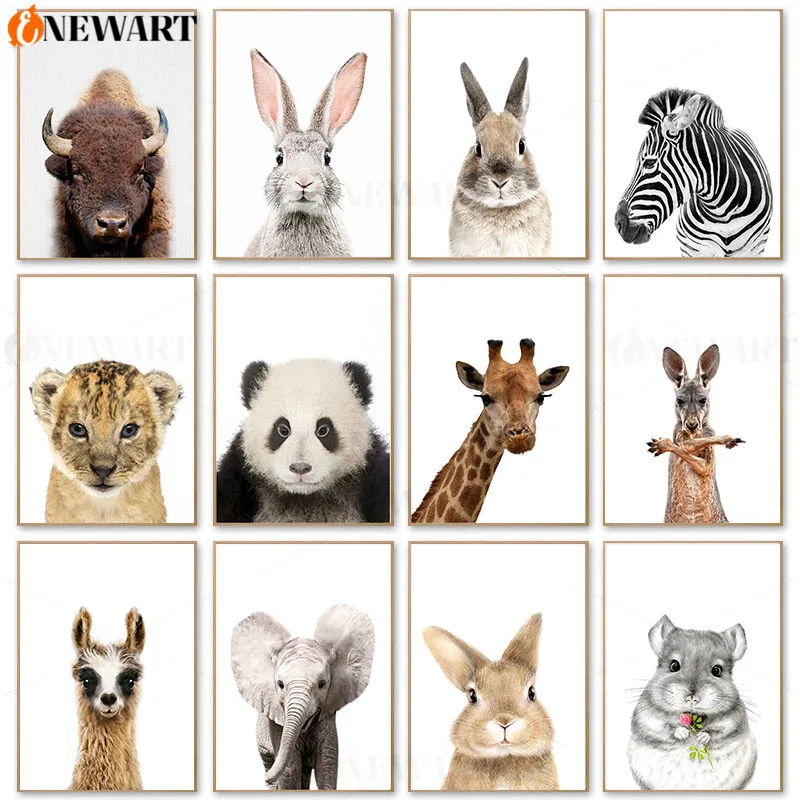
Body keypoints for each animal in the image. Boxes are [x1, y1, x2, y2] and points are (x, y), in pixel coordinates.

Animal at [231, 605, 375, 790]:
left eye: (322, 684)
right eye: (280, 684)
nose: (266, 779)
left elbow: (326, 764)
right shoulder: (277, 725)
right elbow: (290, 770)